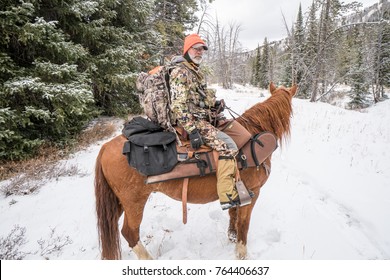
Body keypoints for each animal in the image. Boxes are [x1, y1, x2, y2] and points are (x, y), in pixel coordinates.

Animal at [93, 82, 296, 260]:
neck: (255, 135)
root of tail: (105, 147)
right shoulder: (253, 192)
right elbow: (244, 224)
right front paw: (241, 253)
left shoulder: (239, 191)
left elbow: (233, 215)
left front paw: (231, 236)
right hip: (134, 202)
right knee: (130, 233)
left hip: (118, 202)